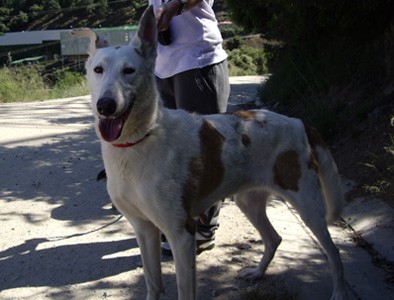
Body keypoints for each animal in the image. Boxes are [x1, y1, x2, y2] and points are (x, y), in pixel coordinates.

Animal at [71, 6, 348, 300]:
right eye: (98, 69)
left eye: (129, 71)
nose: (105, 106)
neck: (138, 142)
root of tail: (299, 121)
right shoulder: (144, 230)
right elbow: (153, 284)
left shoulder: (181, 234)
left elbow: (184, 290)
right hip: (248, 201)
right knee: (274, 238)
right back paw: (257, 273)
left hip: (307, 204)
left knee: (333, 251)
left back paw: (340, 291)